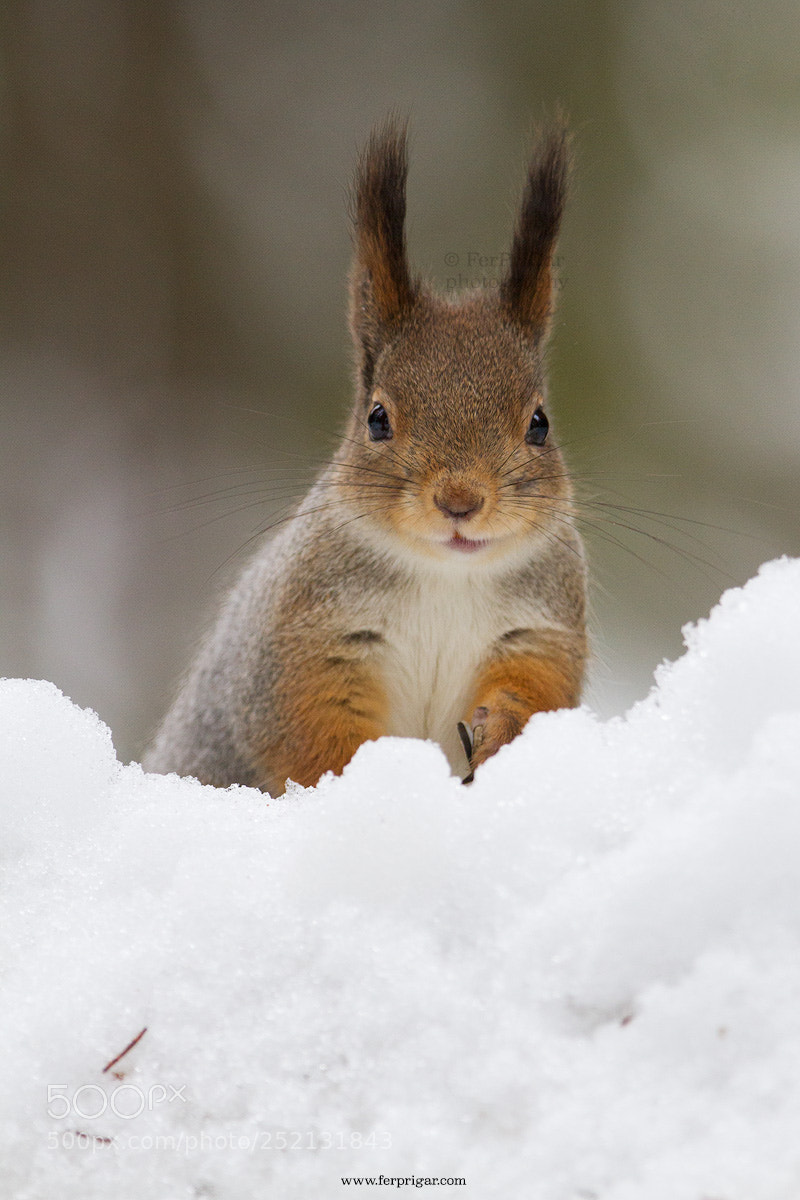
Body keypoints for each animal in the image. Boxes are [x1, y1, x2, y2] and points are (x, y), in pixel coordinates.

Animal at [144, 118, 587, 793]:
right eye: (377, 419)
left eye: (539, 423)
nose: (460, 501)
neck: (444, 575)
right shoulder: (302, 642)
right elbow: (313, 735)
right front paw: (370, 778)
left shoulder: (544, 632)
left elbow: (538, 695)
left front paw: (499, 730)